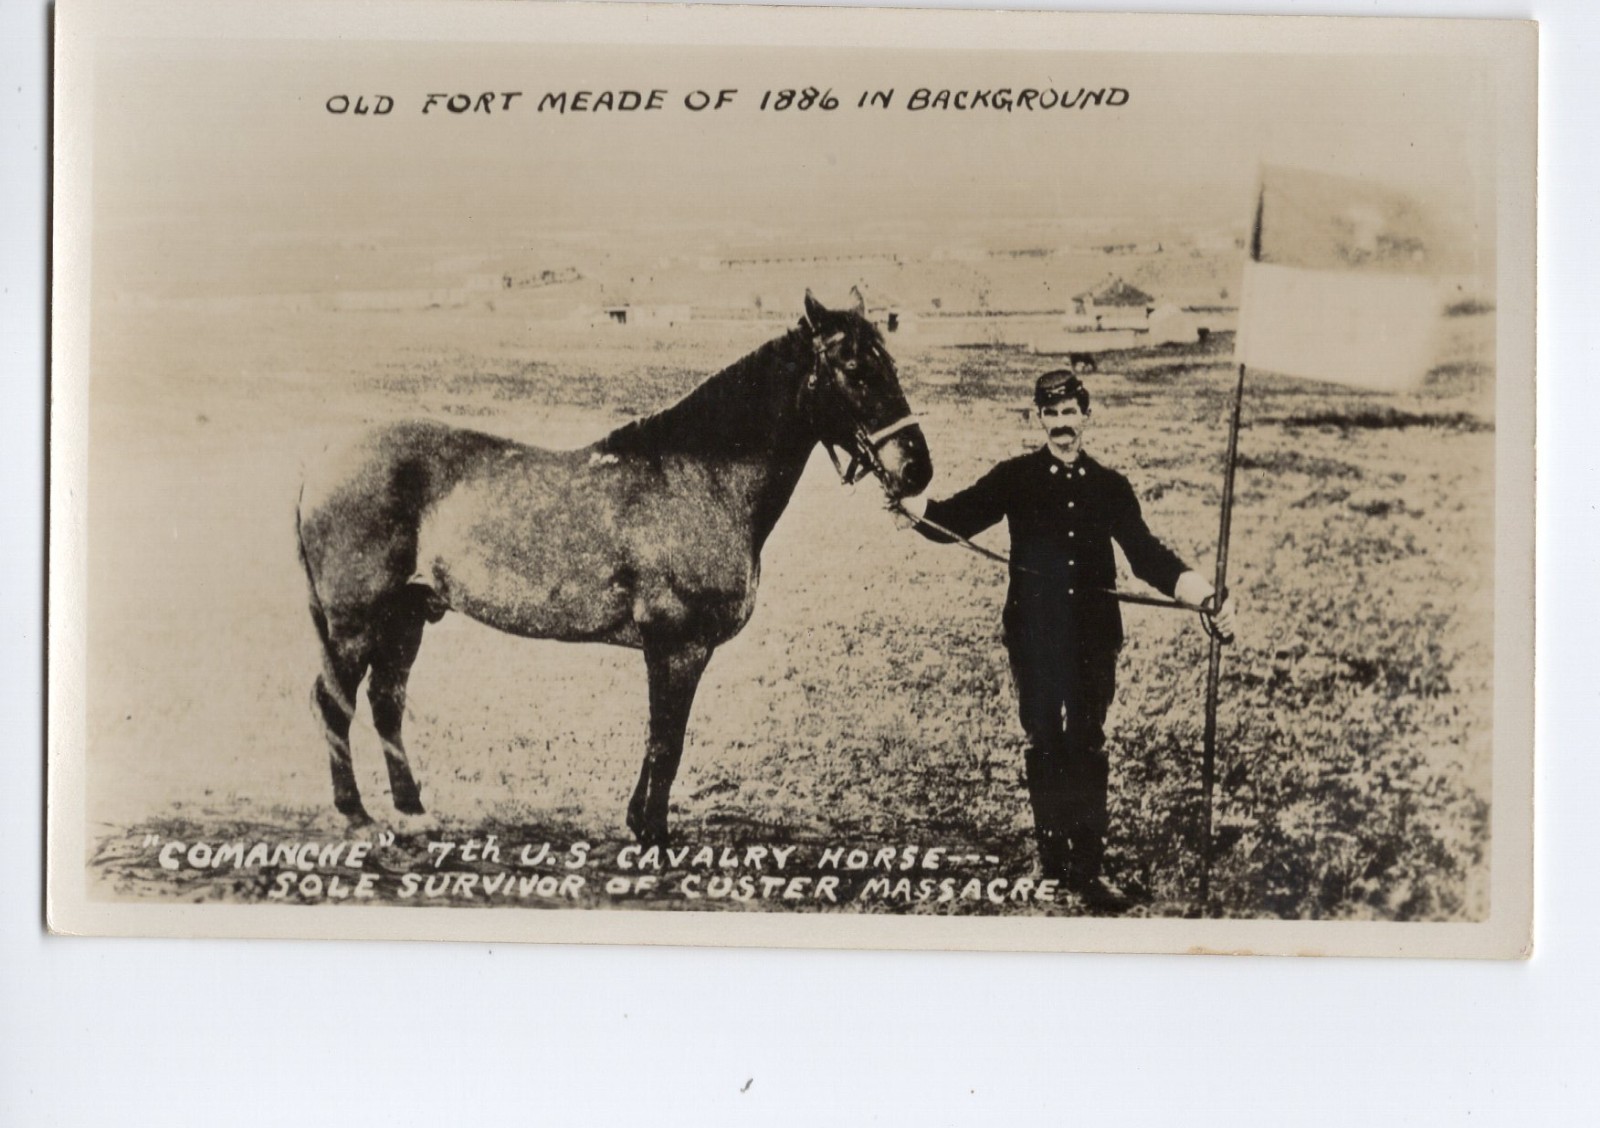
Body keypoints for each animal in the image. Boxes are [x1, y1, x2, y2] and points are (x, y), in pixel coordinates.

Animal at [295, 292, 932, 844]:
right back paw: (355, 814)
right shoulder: (678, 645)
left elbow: (660, 738)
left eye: (888, 363)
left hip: (407, 615)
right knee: (334, 703)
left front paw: (638, 822)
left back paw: (413, 811)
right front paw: (654, 836)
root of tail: (322, 463)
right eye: (855, 369)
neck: (700, 480)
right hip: (356, 624)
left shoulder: (675, 649)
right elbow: (667, 744)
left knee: (386, 702)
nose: (915, 470)